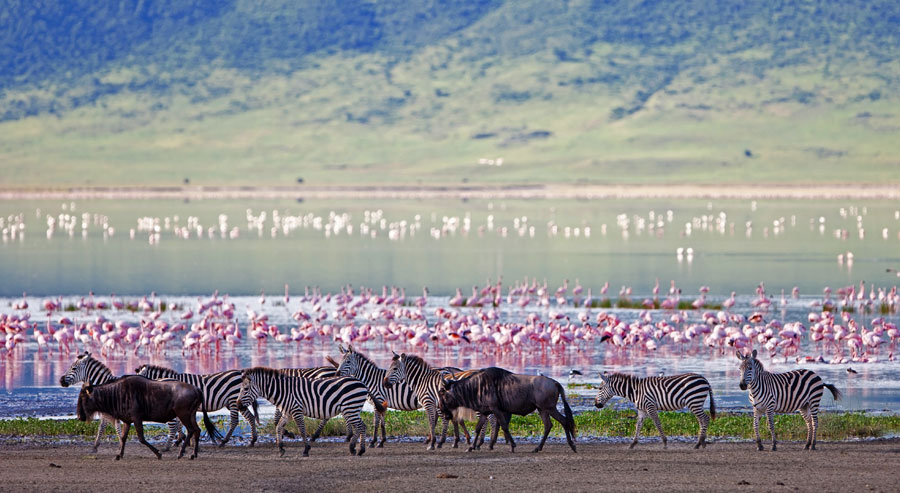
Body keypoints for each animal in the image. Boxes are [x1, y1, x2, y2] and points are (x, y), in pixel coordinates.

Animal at [237, 368, 370, 456]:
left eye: (245, 389)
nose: (238, 405)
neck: (283, 391)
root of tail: (362, 383)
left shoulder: (297, 411)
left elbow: (302, 430)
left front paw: (306, 449)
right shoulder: (287, 414)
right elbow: (278, 427)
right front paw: (281, 448)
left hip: (350, 408)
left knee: (361, 426)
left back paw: (361, 450)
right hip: (352, 409)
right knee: (360, 427)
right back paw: (353, 448)